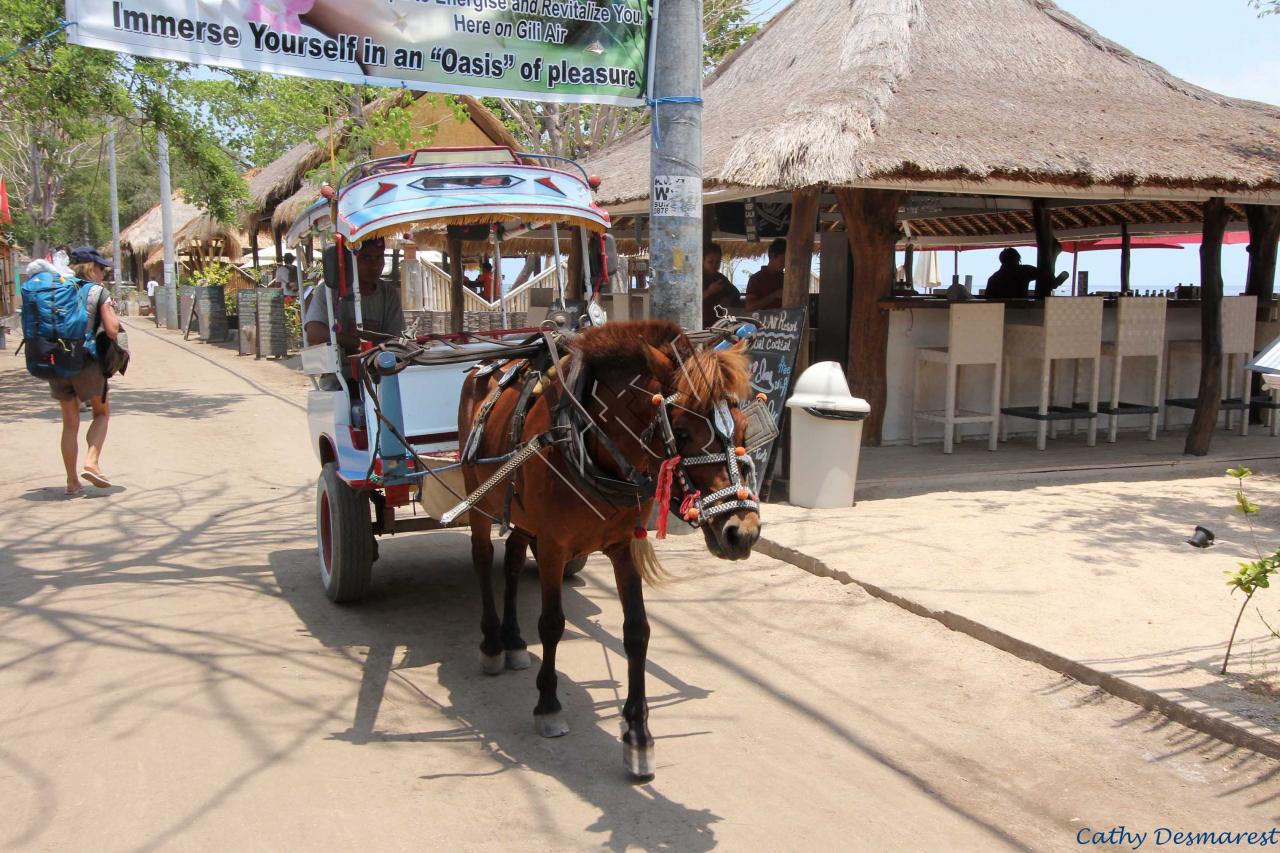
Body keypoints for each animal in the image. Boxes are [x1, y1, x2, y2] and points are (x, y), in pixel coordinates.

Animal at [458, 318, 757, 778]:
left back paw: (513, 641)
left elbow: (637, 632)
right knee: (482, 559)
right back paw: (492, 643)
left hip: (521, 515)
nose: (742, 531)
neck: (590, 443)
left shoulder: (623, 545)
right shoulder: (552, 547)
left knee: (510, 562)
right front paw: (548, 705)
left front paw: (637, 735)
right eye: (682, 432)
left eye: (743, 430)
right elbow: (552, 624)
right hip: (478, 500)